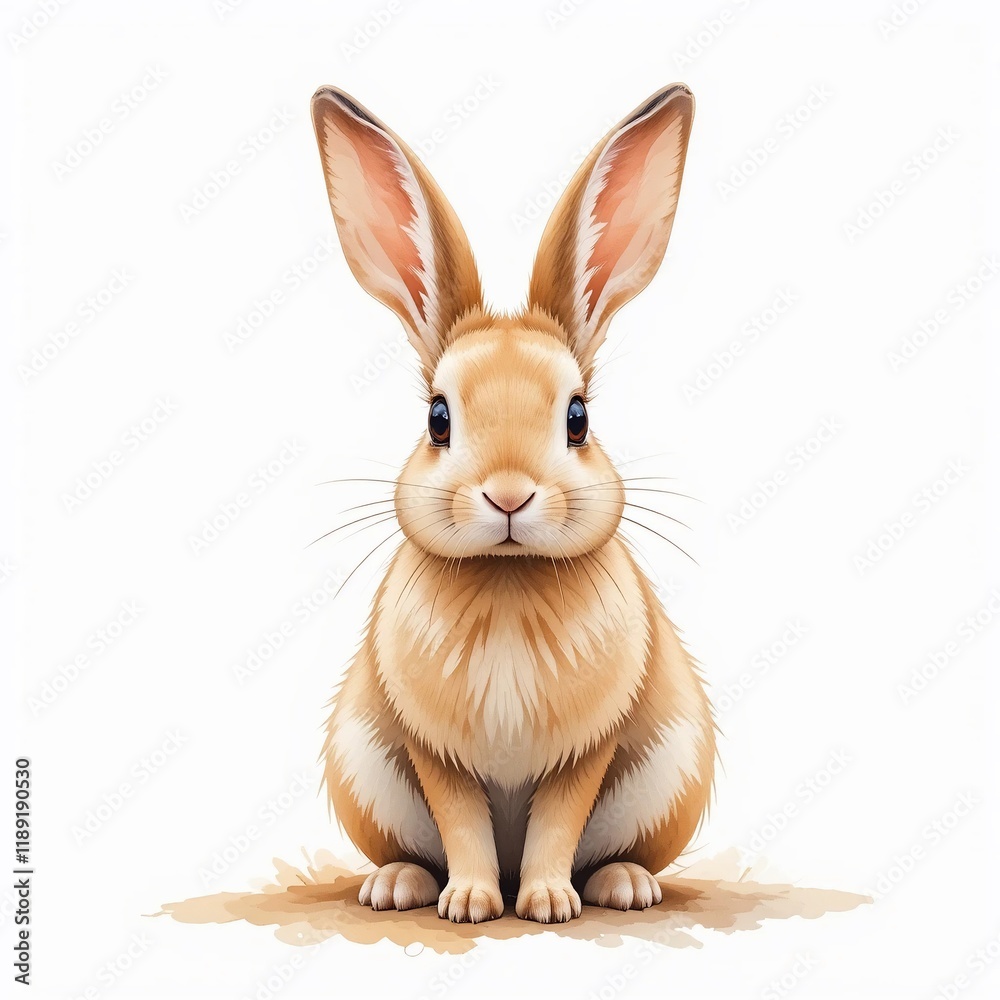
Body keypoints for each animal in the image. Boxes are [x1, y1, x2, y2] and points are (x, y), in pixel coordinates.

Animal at [312, 83, 715, 924]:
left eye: (578, 417)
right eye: (438, 418)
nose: (507, 495)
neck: (507, 576)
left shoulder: (585, 752)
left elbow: (559, 822)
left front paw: (546, 903)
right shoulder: (436, 755)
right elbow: (460, 821)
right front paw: (471, 903)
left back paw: (623, 884)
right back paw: (396, 885)